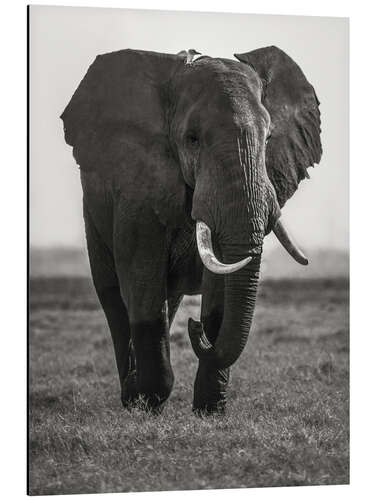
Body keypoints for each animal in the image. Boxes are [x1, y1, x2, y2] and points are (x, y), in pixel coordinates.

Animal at [61, 46, 324, 414]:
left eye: (269, 138)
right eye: (193, 139)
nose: (194, 327)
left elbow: (219, 293)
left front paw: (210, 411)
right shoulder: (138, 187)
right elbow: (142, 281)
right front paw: (149, 402)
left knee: (167, 299)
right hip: (94, 212)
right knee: (114, 298)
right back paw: (131, 397)